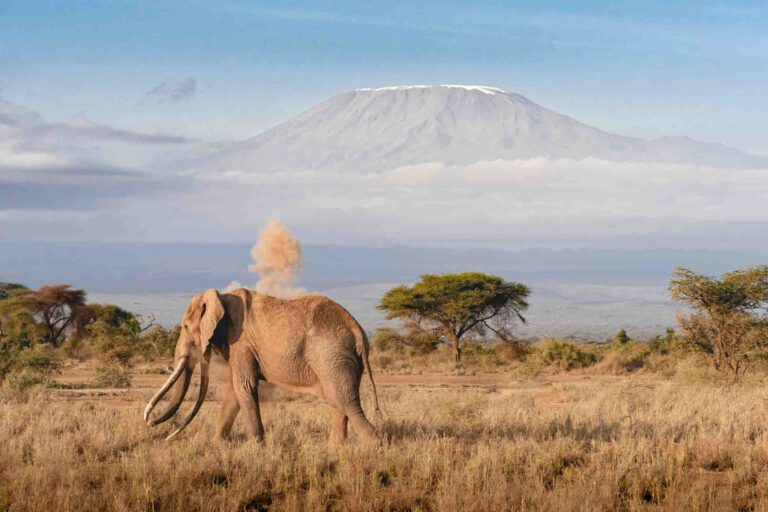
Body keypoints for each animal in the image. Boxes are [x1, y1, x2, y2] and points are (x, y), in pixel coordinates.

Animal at [143, 288, 380, 444]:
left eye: (185, 326)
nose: (161, 431)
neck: (220, 297)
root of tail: (358, 330)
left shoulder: (241, 342)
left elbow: (244, 386)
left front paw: (257, 447)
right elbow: (235, 391)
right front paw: (218, 445)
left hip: (332, 355)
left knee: (344, 400)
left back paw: (373, 445)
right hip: (341, 359)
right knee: (339, 400)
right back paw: (336, 449)